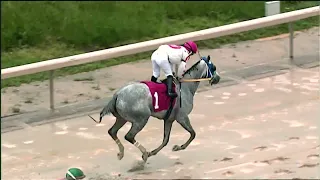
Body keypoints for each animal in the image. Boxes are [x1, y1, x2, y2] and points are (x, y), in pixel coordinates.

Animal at [90, 54, 220, 162]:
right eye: (213, 67)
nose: (218, 78)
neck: (185, 88)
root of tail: (117, 95)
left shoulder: (169, 119)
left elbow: (166, 139)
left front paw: (155, 152)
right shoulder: (182, 117)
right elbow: (193, 134)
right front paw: (179, 147)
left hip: (122, 118)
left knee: (112, 131)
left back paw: (121, 153)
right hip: (141, 119)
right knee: (129, 136)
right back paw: (144, 153)